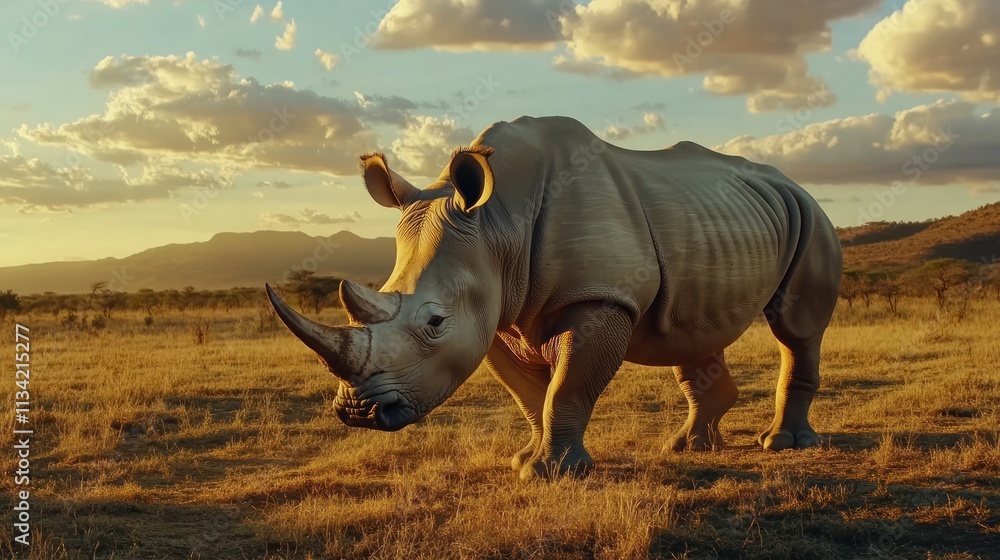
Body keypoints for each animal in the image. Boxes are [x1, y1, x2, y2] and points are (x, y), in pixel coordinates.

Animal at [265, 115, 842, 480]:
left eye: (434, 322)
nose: (357, 412)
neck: (499, 222)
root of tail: (791, 181)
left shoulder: (599, 298)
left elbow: (567, 387)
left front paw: (553, 472)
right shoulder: (497, 311)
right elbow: (529, 396)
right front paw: (524, 461)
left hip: (810, 214)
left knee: (796, 328)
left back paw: (783, 444)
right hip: (718, 221)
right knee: (691, 330)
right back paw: (688, 447)